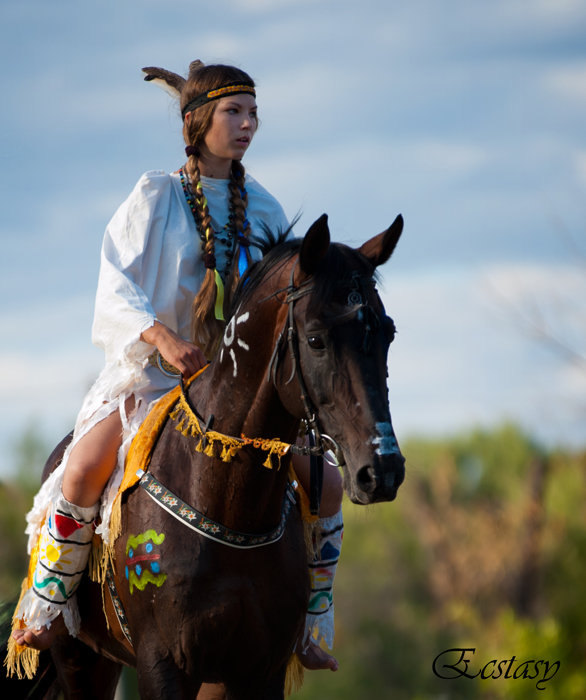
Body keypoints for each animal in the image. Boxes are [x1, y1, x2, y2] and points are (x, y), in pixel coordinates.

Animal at [11, 213, 404, 700]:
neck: (229, 504)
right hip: (79, 659)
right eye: (315, 339)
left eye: (388, 333)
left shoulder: (258, 669)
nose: (383, 469)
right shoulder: (162, 663)